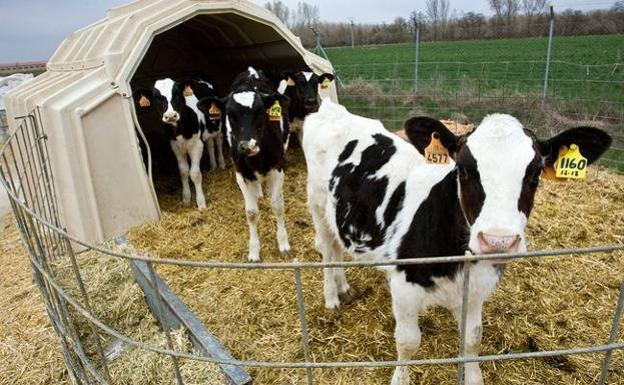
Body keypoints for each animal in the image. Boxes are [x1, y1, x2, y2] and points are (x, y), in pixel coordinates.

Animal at [155, 77, 206, 208]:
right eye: (156, 97)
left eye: (177, 93)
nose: (170, 115)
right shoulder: (175, 146)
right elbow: (183, 171)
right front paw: (186, 198)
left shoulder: (197, 145)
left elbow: (195, 173)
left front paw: (201, 203)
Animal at [199, 68, 292, 260]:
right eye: (230, 115)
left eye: (260, 112)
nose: (248, 145)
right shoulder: (240, 173)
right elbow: (251, 213)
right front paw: (254, 250)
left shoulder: (278, 169)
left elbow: (277, 205)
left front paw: (283, 243)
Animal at [304, 99, 612, 384]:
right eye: (463, 169)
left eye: (535, 172)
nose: (498, 240)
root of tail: (332, 108)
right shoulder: (403, 287)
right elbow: (407, 341)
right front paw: (400, 378)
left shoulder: (476, 290)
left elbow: (472, 339)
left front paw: (474, 377)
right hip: (317, 205)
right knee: (327, 251)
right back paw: (332, 297)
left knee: (338, 246)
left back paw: (344, 287)